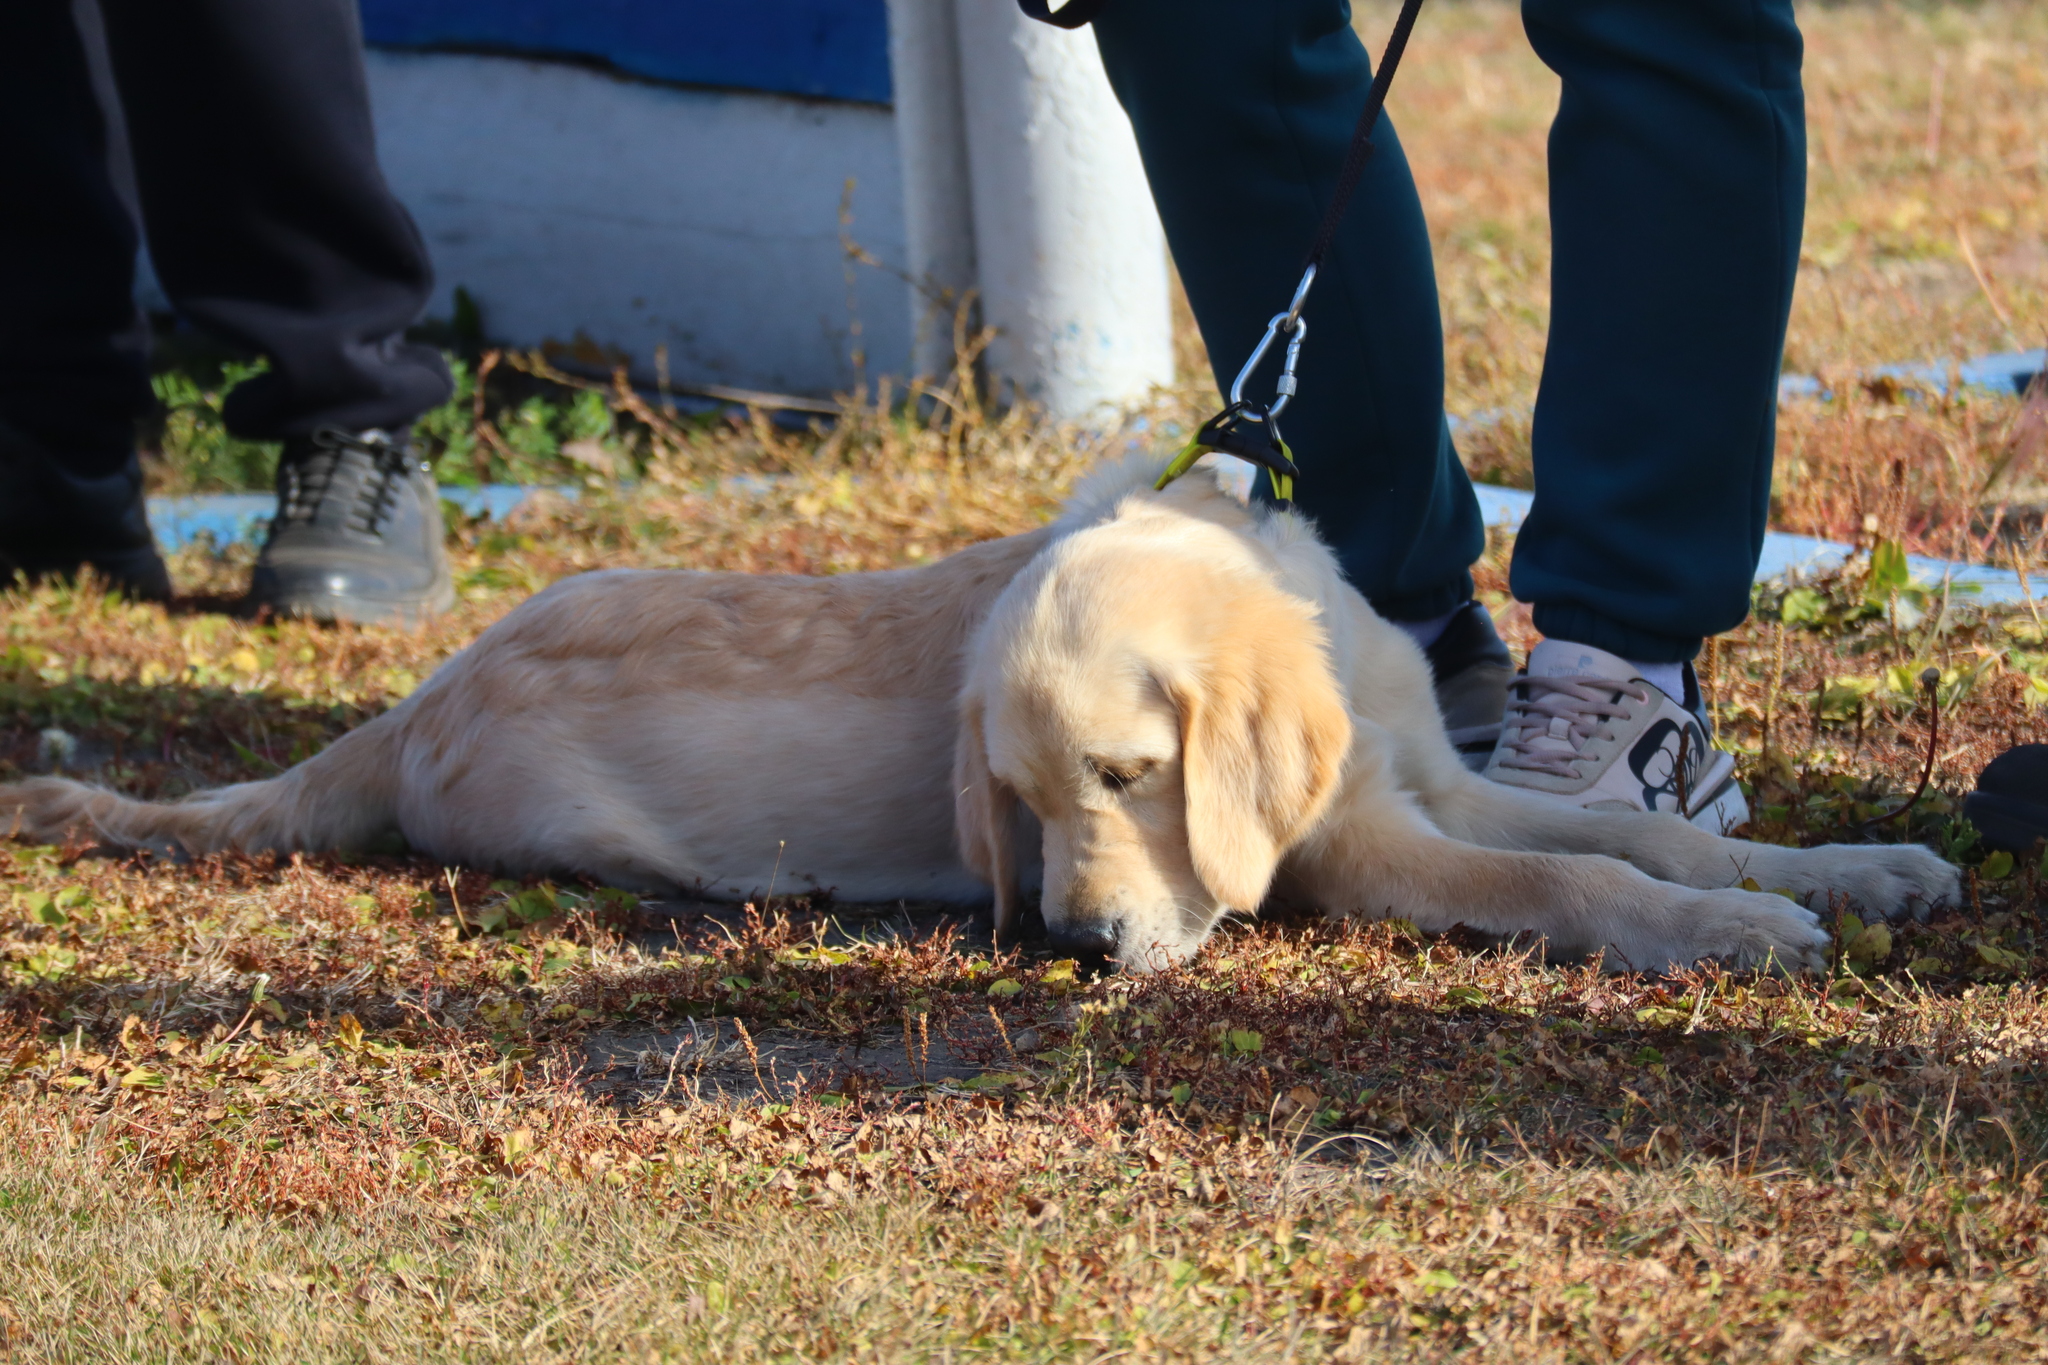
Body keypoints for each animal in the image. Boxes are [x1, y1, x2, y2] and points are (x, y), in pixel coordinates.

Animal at [0, 458, 1949, 970]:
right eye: (1012, 808)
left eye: (1131, 774)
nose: (1070, 947)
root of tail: (408, 704)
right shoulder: (1361, 850)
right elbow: (1578, 882)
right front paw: (1739, 932)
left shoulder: (1423, 785)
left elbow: (1614, 836)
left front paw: (1854, 871)